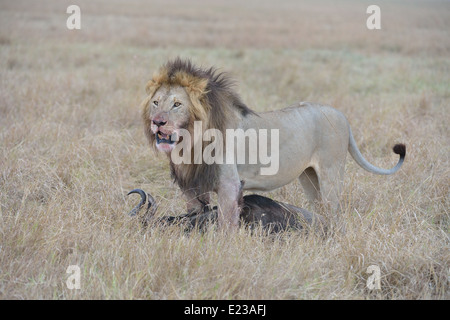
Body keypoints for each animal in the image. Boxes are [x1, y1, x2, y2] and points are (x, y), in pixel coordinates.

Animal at [142, 57, 406, 228]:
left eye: (177, 104)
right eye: (156, 102)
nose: (157, 122)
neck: (189, 142)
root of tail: (342, 116)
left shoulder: (229, 185)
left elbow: (226, 226)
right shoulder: (191, 188)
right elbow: (194, 217)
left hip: (331, 173)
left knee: (334, 211)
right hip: (309, 177)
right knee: (321, 209)